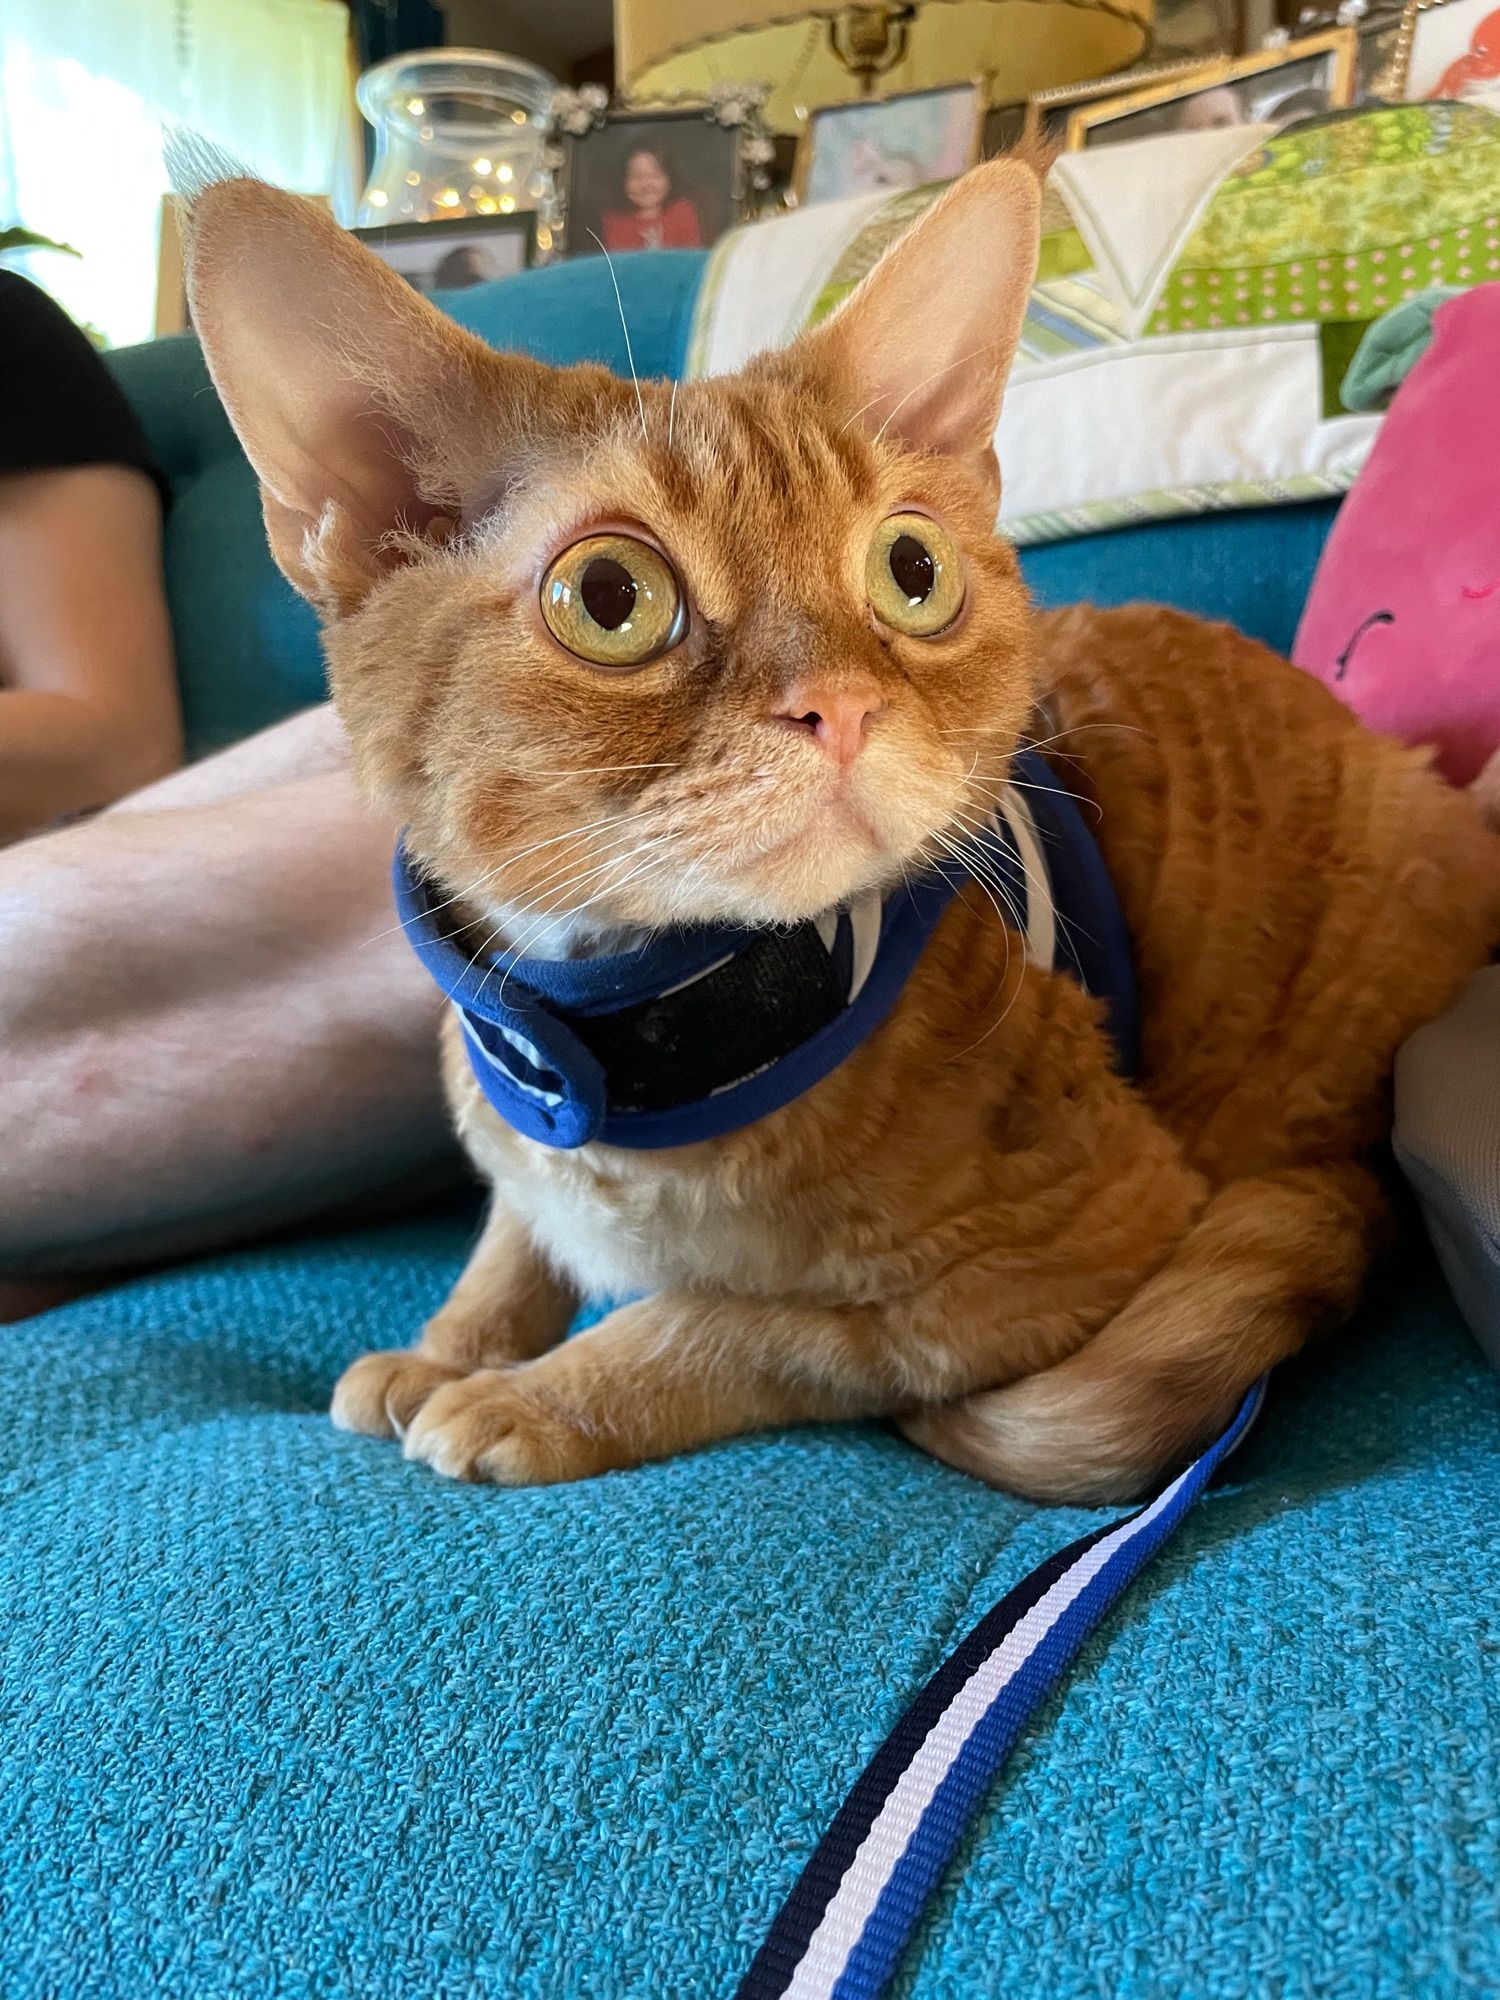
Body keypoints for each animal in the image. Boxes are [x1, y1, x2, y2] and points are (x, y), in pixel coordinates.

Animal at [188, 160, 1500, 1504]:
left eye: (912, 570)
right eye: (609, 598)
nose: (842, 705)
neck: (627, 1034)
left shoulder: (1043, 1262)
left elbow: (734, 1323)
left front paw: (536, 1389)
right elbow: (512, 1230)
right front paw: (451, 1341)